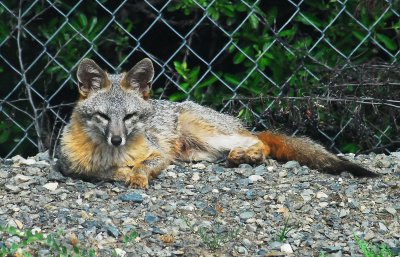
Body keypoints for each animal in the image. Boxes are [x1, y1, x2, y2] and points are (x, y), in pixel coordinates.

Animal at [57, 57, 378, 186]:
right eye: (102, 116)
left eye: (129, 117)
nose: (116, 139)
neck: (112, 153)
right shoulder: (70, 167)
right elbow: (104, 172)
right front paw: (124, 172)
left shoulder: (160, 154)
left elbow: (144, 165)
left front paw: (136, 175)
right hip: (197, 152)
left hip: (207, 135)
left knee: (260, 141)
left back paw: (247, 155)